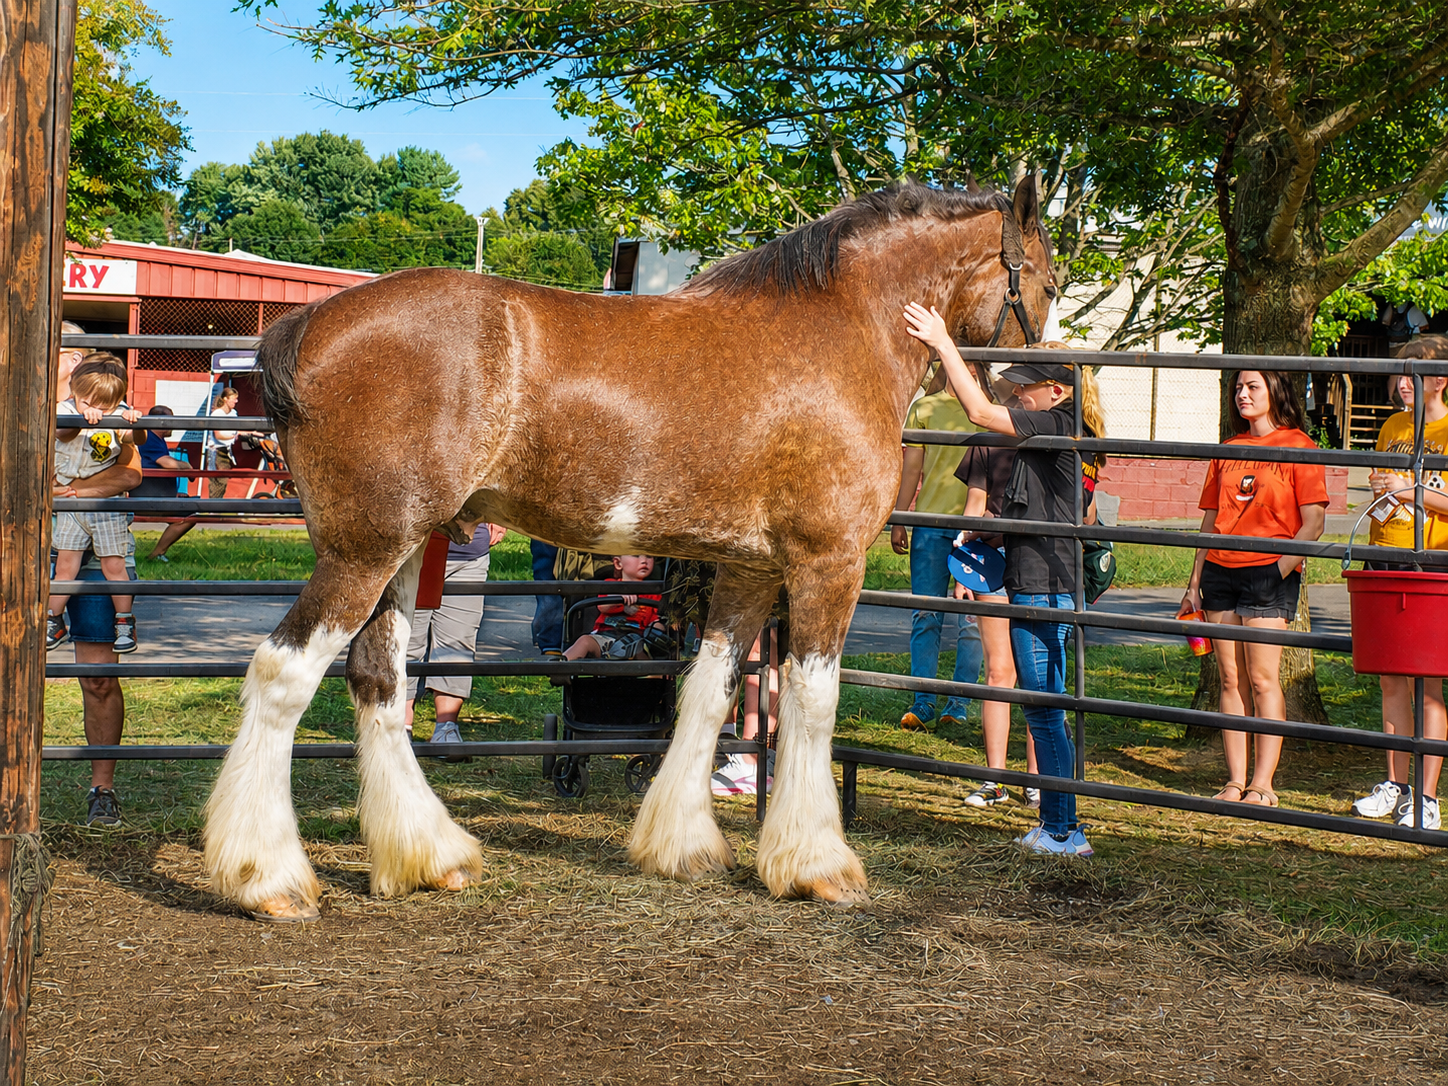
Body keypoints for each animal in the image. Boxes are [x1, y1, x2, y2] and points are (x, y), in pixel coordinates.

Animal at [202, 178, 1057, 921]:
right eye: (1050, 283)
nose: (1038, 388)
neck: (844, 325)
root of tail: (305, 327)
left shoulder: (749, 570)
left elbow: (708, 691)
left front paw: (681, 846)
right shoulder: (827, 563)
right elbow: (814, 699)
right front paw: (818, 866)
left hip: (403, 553)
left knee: (378, 680)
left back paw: (429, 857)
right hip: (365, 550)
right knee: (283, 674)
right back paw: (267, 879)